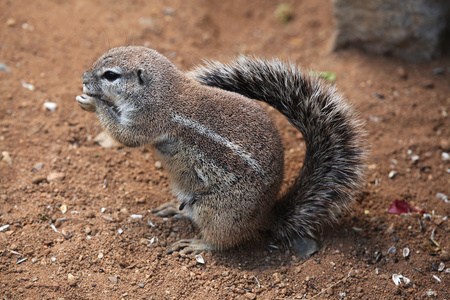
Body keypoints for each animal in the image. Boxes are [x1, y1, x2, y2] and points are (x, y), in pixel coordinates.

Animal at [76, 45, 366, 256]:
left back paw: (198, 244)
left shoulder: (148, 120)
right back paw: (174, 209)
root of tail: (265, 216)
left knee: (222, 240)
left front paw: (92, 103)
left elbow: (125, 136)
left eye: (110, 75)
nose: (83, 78)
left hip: (218, 211)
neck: (162, 91)